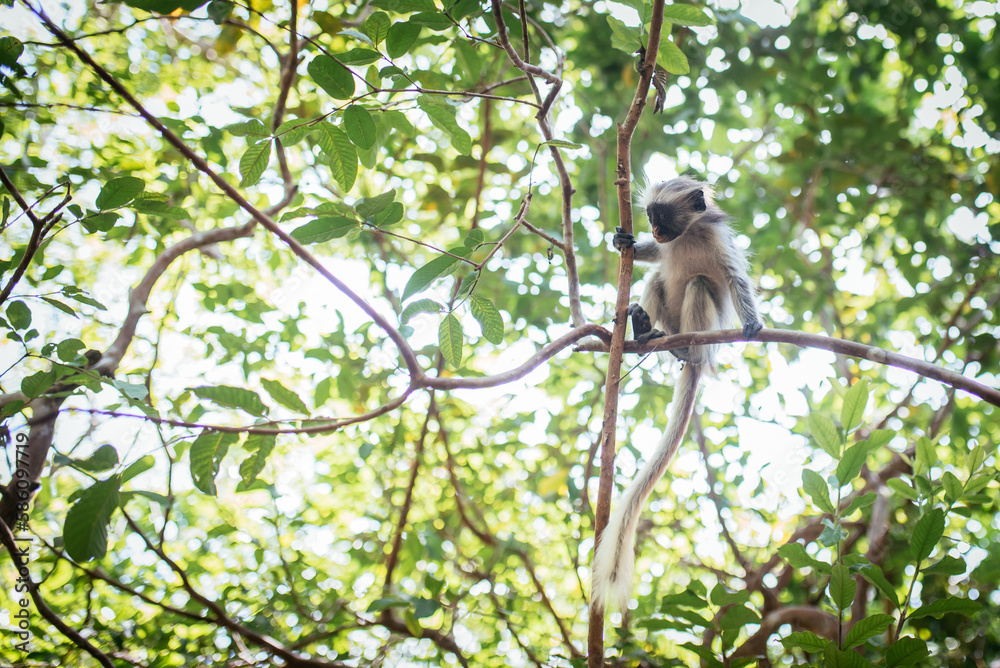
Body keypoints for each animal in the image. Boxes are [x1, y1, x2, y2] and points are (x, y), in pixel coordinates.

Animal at [591, 177, 763, 613]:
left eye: (663, 216)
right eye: (650, 217)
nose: (653, 229)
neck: (687, 236)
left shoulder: (719, 241)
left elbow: (736, 280)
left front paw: (753, 323)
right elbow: (654, 259)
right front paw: (624, 241)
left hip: (701, 323)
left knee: (700, 284)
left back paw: (688, 350)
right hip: (667, 316)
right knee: (655, 281)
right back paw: (642, 330)